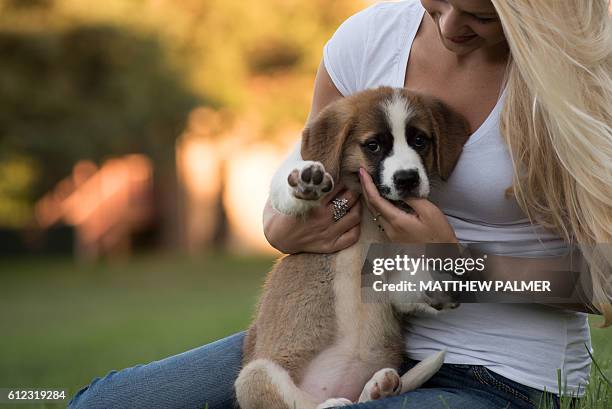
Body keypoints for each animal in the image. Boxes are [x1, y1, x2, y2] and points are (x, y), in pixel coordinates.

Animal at [234, 86, 468, 408]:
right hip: (255, 374)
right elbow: (286, 190)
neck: (370, 212)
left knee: (360, 400)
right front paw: (306, 181)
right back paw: (335, 403)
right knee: (304, 404)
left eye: (419, 140)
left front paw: (442, 284)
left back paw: (380, 387)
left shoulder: (394, 280)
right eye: (373, 145)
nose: (407, 179)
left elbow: (409, 286)